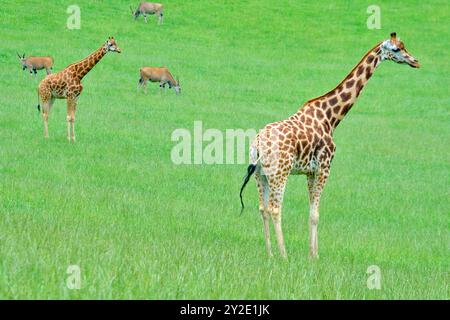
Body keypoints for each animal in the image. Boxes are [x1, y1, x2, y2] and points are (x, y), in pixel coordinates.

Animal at [241, 31, 420, 260]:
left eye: (405, 46)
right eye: (397, 49)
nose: (415, 61)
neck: (331, 117)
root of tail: (257, 145)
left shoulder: (310, 171)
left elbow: (311, 211)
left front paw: (312, 253)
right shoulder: (325, 166)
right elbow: (316, 213)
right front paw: (314, 256)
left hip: (260, 174)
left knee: (262, 208)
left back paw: (270, 253)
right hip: (279, 173)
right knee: (274, 208)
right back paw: (283, 255)